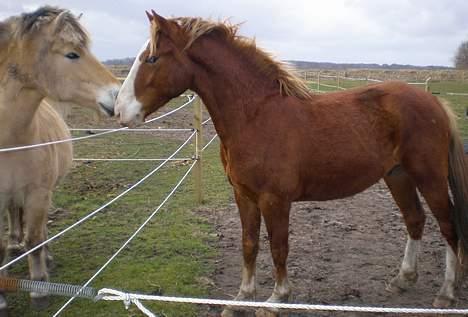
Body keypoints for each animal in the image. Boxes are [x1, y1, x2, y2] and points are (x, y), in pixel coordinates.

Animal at [0, 5, 119, 312]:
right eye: (72, 54)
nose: (117, 95)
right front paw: (2, 296)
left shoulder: (38, 193)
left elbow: (34, 239)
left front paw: (39, 288)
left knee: (38, 230)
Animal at [114, 12, 468, 316]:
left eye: (152, 58)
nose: (119, 111)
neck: (256, 115)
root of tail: (434, 101)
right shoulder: (243, 195)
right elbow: (249, 244)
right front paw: (241, 298)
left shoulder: (275, 200)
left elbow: (278, 246)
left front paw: (276, 300)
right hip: (398, 176)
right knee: (415, 220)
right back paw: (402, 280)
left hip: (429, 176)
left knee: (448, 225)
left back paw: (447, 292)